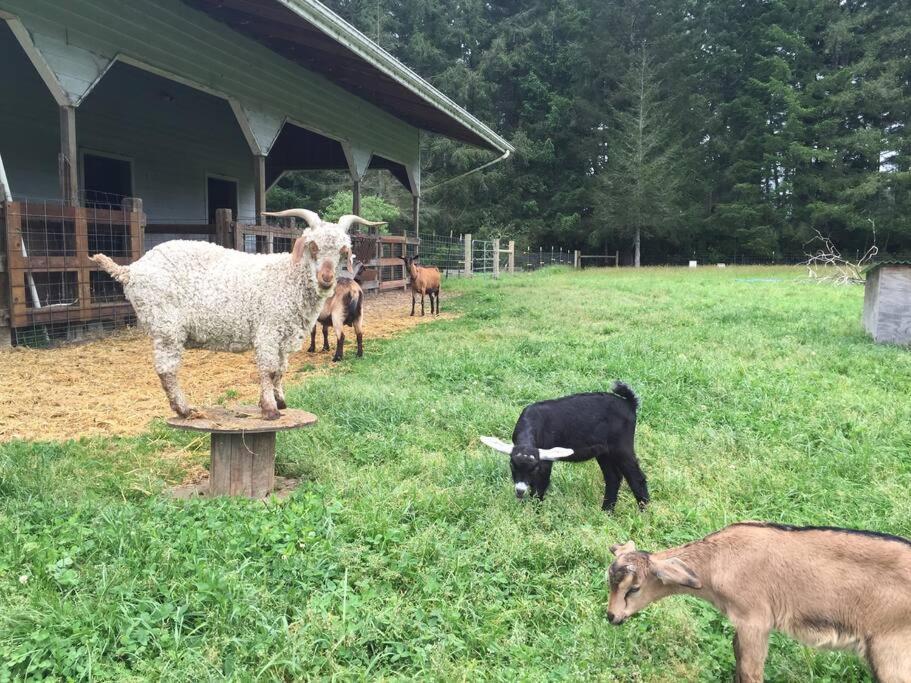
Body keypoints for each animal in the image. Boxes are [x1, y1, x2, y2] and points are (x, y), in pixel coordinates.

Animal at [94, 211, 386, 420]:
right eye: (313, 246)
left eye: (343, 251)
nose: (326, 278)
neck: (286, 277)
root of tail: (131, 270)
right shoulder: (268, 331)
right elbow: (268, 370)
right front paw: (270, 409)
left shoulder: (284, 336)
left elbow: (281, 370)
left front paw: (281, 401)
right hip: (167, 326)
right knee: (167, 369)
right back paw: (185, 410)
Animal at [484, 382, 648, 510]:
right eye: (512, 465)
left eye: (535, 468)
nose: (519, 491)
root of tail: (629, 403)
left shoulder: (545, 463)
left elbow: (539, 488)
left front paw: (536, 512)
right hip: (604, 452)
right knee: (613, 478)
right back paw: (606, 511)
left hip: (622, 446)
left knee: (636, 477)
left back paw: (642, 511)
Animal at [604, 524, 911, 680]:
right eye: (609, 582)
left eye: (634, 589)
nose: (612, 616)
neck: (717, 563)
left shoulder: (755, 619)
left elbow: (751, 669)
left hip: (892, 652)